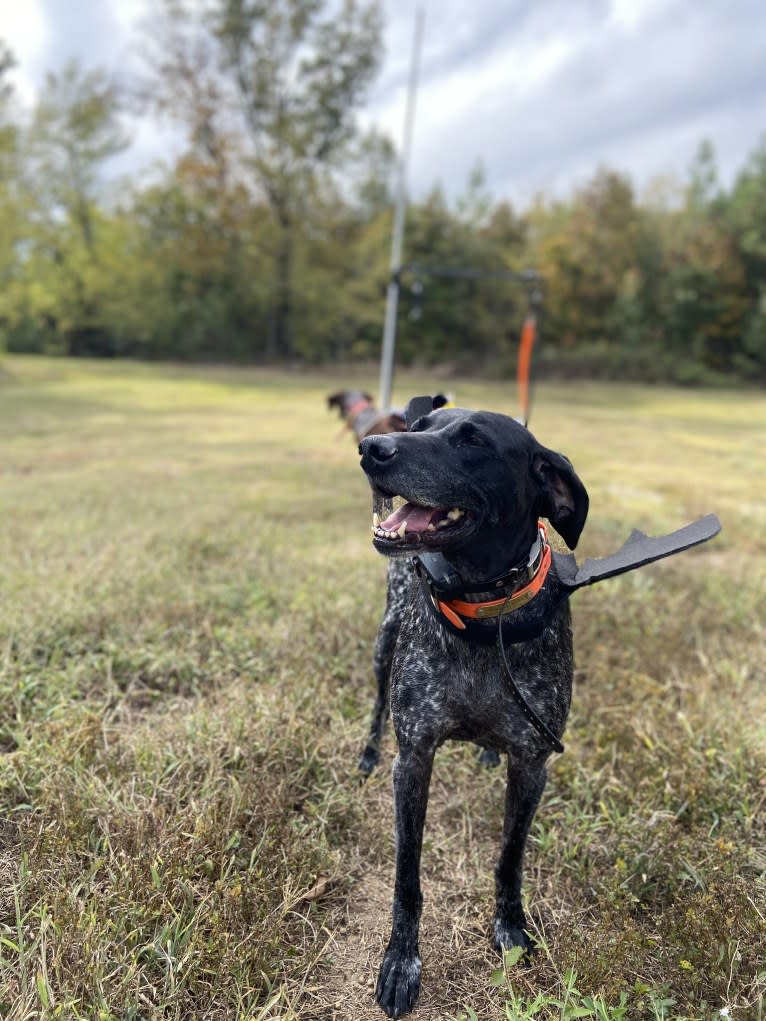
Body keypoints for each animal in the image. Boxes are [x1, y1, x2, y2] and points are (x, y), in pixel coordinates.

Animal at [359, 406, 588, 1021]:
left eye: (474, 441)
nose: (370, 448)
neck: (484, 612)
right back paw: (365, 753)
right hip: (383, 646)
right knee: (374, 707)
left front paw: (510, 926)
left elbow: (510, 858)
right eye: (421, 427)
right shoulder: (413, 759)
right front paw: (400, 962)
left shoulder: (532, 763)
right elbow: (407, 879)